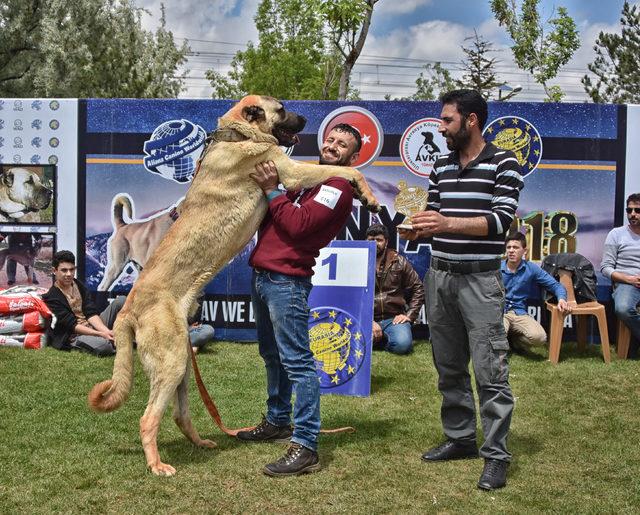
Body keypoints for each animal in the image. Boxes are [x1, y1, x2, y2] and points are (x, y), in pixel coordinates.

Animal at [86, 94, 380, 478]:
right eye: (281, 109)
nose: (307, 121)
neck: (237, 134)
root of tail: (127, 311)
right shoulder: (290, 171)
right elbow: (347, 170)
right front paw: (368, 193)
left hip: (180, 361)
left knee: (180, 413)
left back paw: (202, 442)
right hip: (171, 362)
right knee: (148, 418)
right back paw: (158, 464)